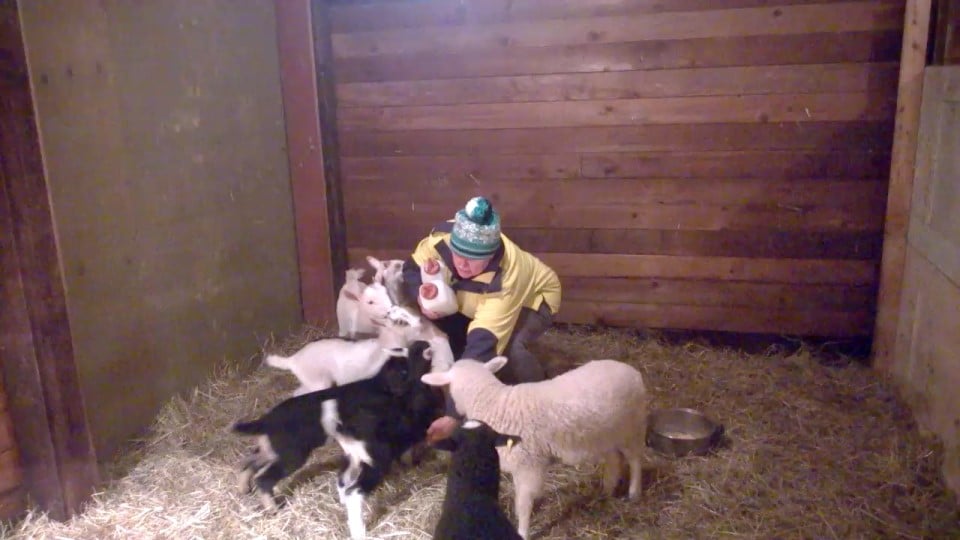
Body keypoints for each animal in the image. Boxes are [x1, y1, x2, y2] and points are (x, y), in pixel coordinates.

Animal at [424, 356, 648, 536]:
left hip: (631, 427)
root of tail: (633, 372)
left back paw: (634, 492)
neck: (494, 403)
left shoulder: (526, 464)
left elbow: (524, 504)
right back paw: (608, 489)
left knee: (635, 459)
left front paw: (523, 531)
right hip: (606, 434)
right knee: (614, 458)